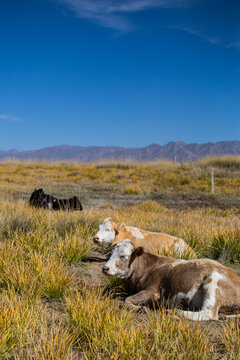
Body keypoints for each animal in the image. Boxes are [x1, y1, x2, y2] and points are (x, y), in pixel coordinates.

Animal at [102, 239, 240, 320]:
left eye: (123, 256)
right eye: (110, 254)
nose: (105, 268)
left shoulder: (153, 292)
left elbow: (126, 301)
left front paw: (142, 308)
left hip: (213, 281)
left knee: (209, 313)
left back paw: (175, 312)